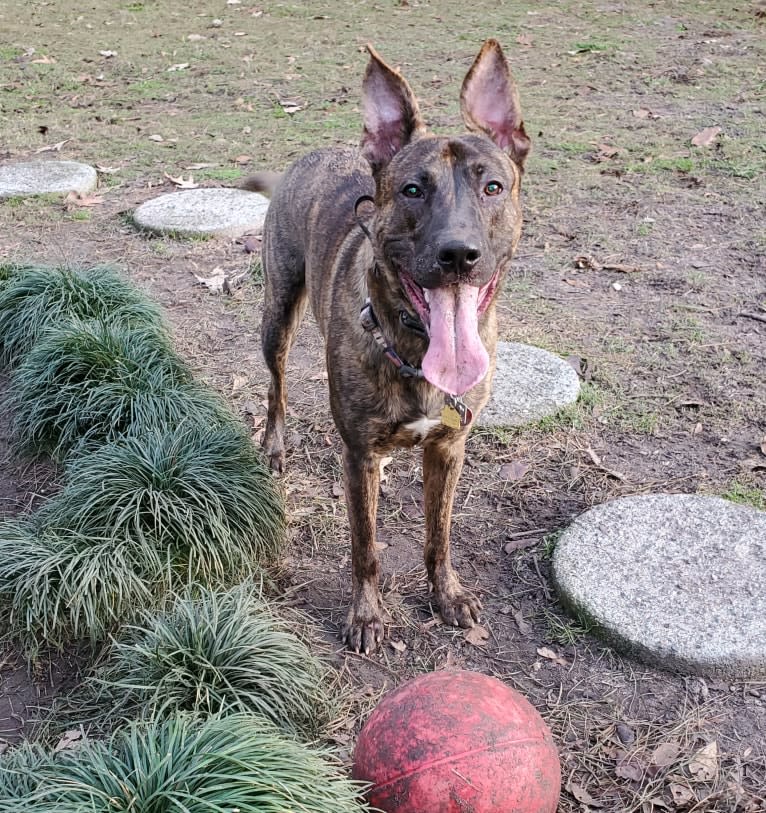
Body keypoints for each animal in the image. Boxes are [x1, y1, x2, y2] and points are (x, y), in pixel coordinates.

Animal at [249, 39, 532, 652]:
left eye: (492, 187)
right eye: (412, 190)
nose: (459, 254)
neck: (416, 351)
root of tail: (313, 155)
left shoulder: (449, 448)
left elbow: (439, 533)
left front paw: (446, 594)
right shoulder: (357, 456)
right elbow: (364, 547)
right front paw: (365, 615)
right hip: (277, 314)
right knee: (276, 384)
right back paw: (275, 445)